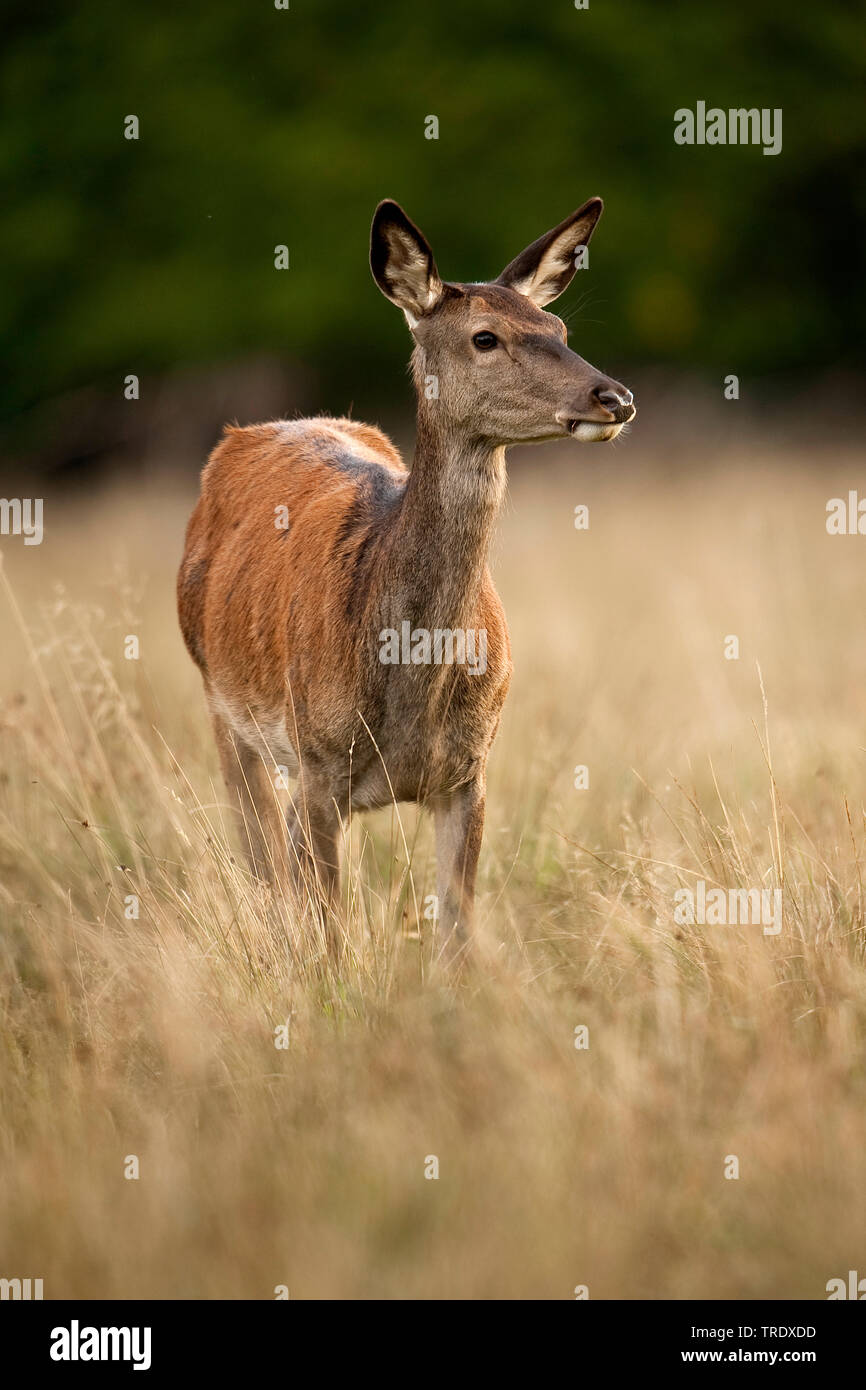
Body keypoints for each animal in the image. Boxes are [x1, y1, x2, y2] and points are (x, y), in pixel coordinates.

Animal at [177, 195, 636, 961]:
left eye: (560, 329)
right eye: (485, 337)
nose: (614, 397)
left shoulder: (470, 772)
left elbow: (455, 934)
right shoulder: (319, 763)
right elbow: (328, 935)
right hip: (222, 704)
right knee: (265, 866)